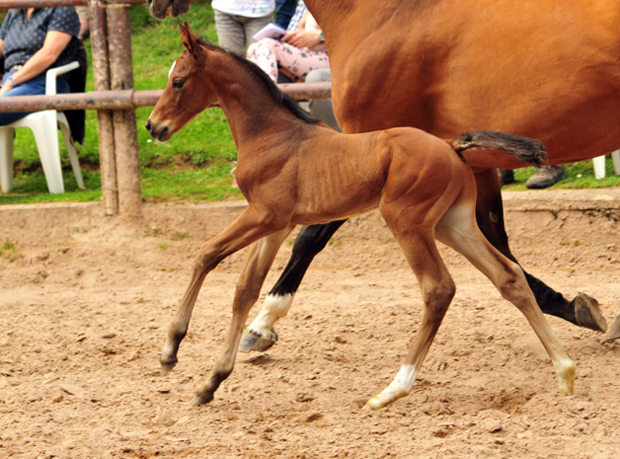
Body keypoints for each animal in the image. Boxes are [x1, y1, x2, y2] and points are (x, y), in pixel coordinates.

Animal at [148, 24, 572, 410]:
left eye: (178, 81)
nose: (154, 126)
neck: (274, 135)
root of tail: (452, 146)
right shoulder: (276, 226)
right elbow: (245, 289)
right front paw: (212, 381)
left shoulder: (262, 216)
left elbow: (205, 255)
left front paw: (171, 350)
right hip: (453, 224)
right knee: (509, 276)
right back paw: (565, 370)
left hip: (406, 222)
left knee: (438, 289)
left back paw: (393, 389)